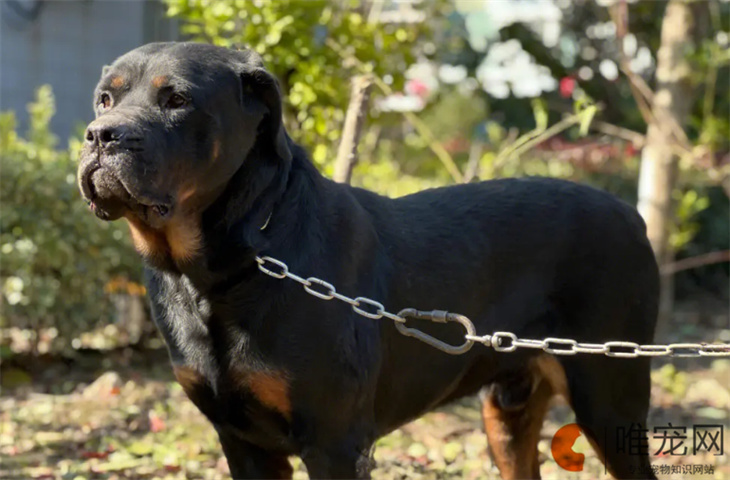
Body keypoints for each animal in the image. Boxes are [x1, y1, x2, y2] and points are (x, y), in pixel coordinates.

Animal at [79, 42, 660, 480]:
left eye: (177, 99)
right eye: (105, 99)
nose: (101, 135)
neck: (220, 268)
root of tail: (631, 214)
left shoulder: (335, 441)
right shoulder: (242, 440)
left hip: (610, 395)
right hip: (507, 411)